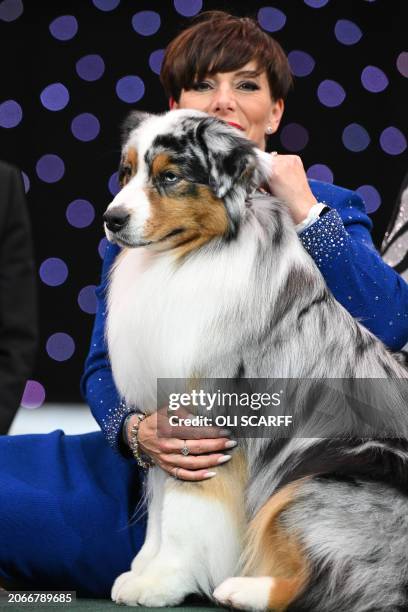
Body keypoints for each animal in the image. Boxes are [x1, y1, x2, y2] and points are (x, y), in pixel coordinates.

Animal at [103, 111, 408, 612]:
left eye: (169, 177)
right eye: (127, 173)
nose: (112, 219)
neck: (190, 256)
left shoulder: (211, 417)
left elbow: (185, 511)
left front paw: (164, 581)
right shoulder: (164, 421)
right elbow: (161, 505)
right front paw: (142, 570)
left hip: (319, 482)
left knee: (333, 584)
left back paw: (243, 590)